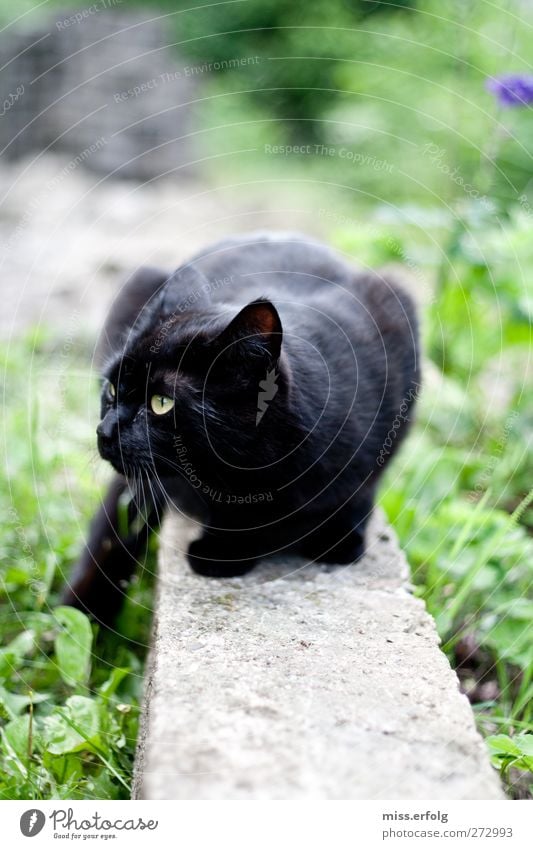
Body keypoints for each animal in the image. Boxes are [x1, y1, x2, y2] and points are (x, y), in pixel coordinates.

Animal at [62, 232, 420, 624]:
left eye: (161, 402)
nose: (105, 431)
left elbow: (361, 489)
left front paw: (340, 538)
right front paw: (223, 550)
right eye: (111, 389)